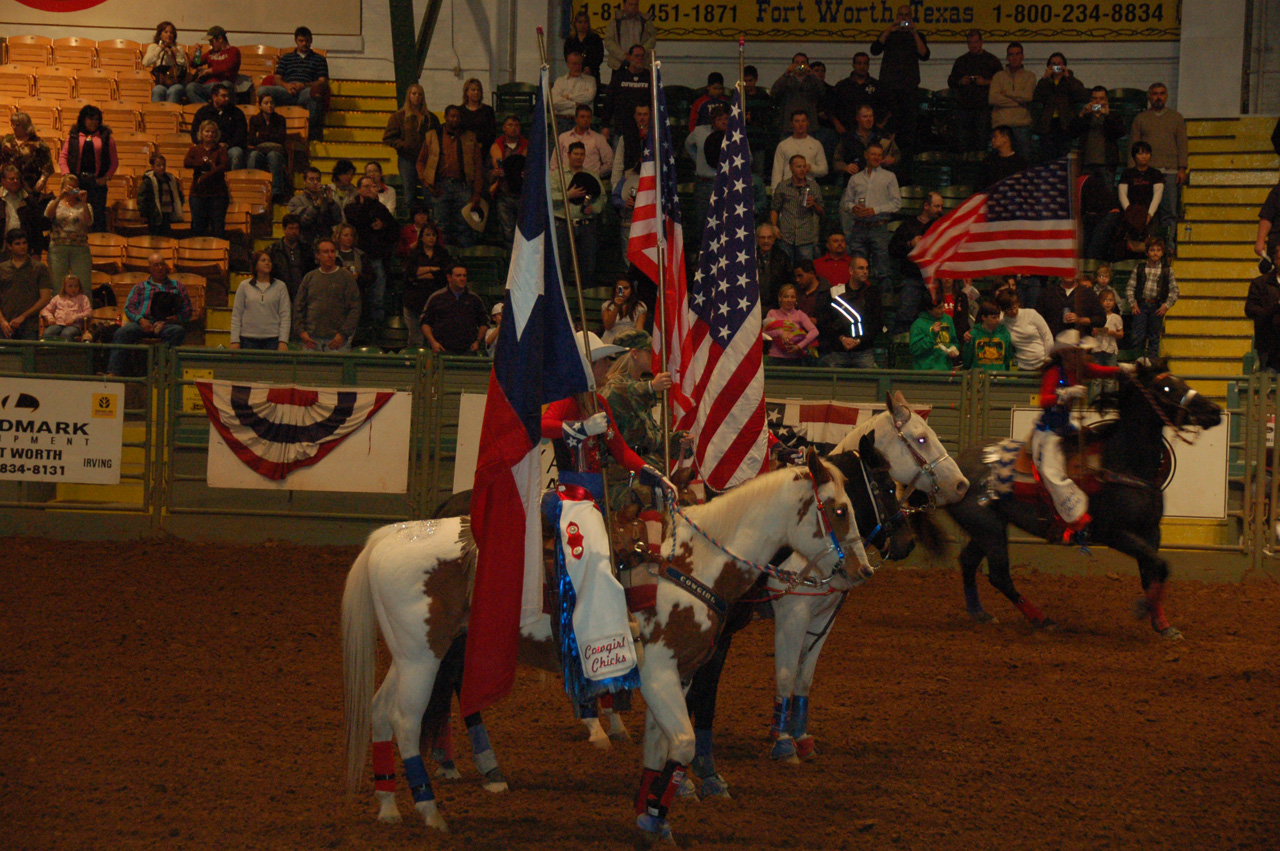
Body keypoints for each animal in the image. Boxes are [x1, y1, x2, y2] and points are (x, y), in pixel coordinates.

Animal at [345, 447, 870, 834]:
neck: (691, 561)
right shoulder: (660, 674)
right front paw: (659, 815)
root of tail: (390, 536)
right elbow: (682, 744)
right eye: (840, 509)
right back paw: (431, 811)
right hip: (423, 656)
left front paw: (653, 820)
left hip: (411, 656)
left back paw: (389, 806)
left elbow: (660, 751)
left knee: (378, 710)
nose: (863, 570)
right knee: (404, 720)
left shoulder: (677, 675)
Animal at [942, 358, 1218, 637]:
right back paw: (1043, 620)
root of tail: (955, 467)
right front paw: (1142, 609)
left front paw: (1163, 625)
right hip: (989, 529)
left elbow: (1152, 572)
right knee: (999, 575)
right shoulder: (1115, 534)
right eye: (1166, 388)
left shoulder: (1151, 531)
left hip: (987, 528)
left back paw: (981, 614)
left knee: (968, 562)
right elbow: (1161, 566)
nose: (1215, 410)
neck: (1122, 462)